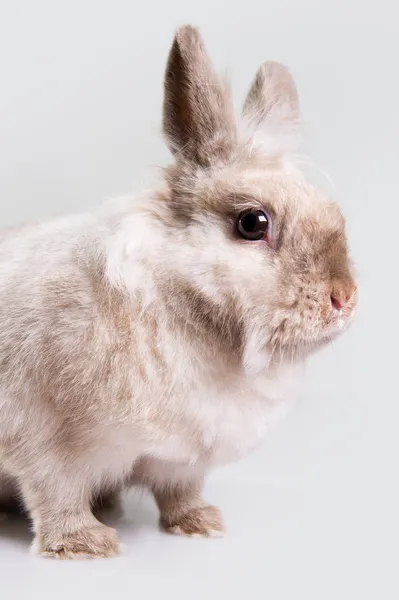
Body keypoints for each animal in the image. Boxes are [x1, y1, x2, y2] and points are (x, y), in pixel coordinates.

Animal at [0, 23, 356, 556]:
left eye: (334, 214)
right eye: (253, 223)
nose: (344, 298)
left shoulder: (183, 459)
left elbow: (179, 492)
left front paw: (201, 523)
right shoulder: (45, 441)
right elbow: (55, 493)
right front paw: (85, 545)